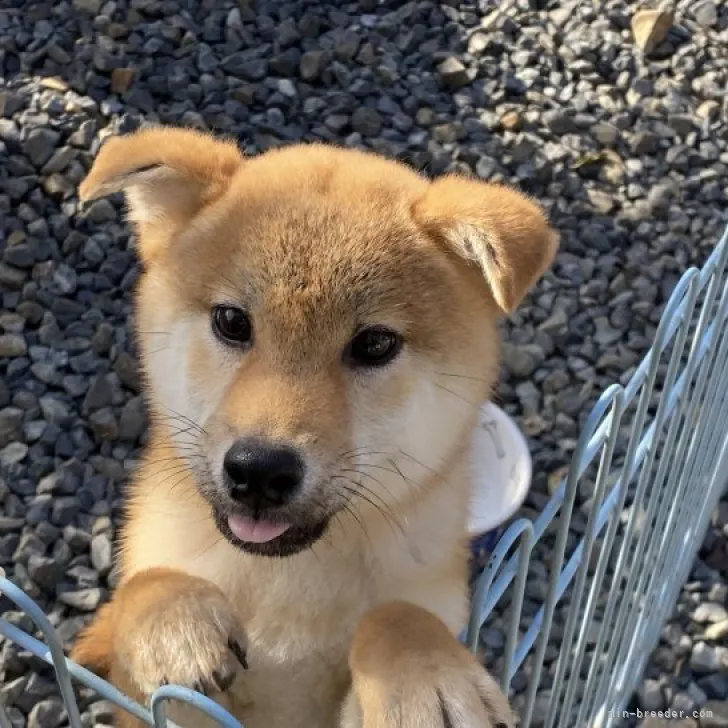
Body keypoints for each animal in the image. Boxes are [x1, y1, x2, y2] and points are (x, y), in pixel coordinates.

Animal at [71, 126, 556, 728]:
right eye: (231, 321)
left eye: (375, 344)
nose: (258, 470)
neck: (287, 583)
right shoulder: (158, 702)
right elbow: (143, 585)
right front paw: (172, 619)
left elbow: (397, 617)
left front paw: (428, 679)